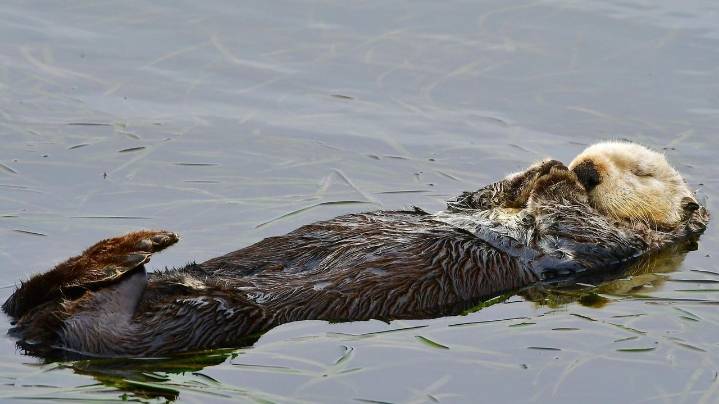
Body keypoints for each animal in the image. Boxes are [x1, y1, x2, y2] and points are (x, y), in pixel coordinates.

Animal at [2, 142, 709, 358]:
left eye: (641, 171)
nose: (586, 165)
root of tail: (39, 333)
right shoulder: (480, 204)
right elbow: (480, 196)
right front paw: (541, 167)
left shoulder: (607, 248)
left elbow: (576, 226)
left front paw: (558, 181)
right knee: (27, 295)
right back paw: (144, 246)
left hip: (203, 319)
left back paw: (143, 250)